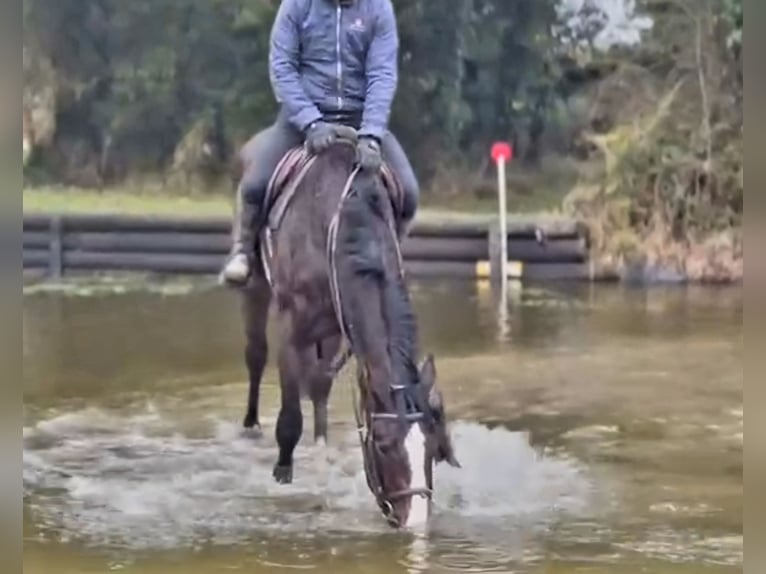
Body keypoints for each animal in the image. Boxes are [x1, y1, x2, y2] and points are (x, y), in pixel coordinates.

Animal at [237, 128, 460, 528]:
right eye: (383, 444)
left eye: (434, 446)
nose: (415, 521)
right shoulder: (290, 326)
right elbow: (290, 418)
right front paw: (282, 476)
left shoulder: (345, 325)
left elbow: (321, 385)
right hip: (256, 290)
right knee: (256, 355)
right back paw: (251, 427)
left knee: (318, 383)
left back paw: (321, 444)